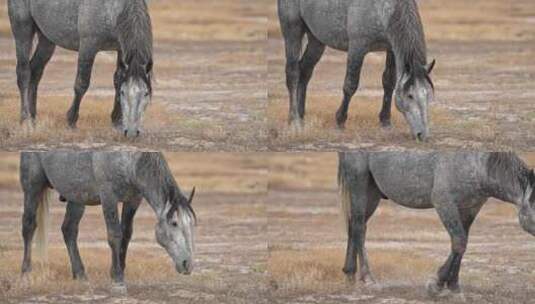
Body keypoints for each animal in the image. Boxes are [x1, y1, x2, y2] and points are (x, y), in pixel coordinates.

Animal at [8, 0, 155, 138]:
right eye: (124, 93)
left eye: (146, 93)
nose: (131, 132)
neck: (113, 8)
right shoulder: (88, 47)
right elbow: (82, 84)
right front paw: (71, 121)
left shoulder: (120, 49)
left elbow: (118, 79)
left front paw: (117, 122)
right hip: (23, 29)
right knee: (24, 73)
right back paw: (25, 120)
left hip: (46, 39)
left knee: (35, 72)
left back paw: (33, 119)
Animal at [21, 151, 198, 294]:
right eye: (174, 223)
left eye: (192, 224)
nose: (188, 265)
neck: (129, 161)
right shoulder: (108, 197)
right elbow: (114, 236)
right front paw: (118, 280)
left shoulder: (133, 200)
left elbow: (126, 235)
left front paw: (119, 272)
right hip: (32, 187)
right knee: (29, 227)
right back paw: (26, 273)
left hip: (77, 197)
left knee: (69, 230)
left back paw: (80, 275)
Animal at [278, 0, 438, 141]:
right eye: (410, 96)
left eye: (428, 95)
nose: (422, 135)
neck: (382, 8)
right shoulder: (357, 48)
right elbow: (350, 85)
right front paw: (340, 121)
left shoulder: (391, 49)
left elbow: (389, 82)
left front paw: (385, 121)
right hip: (293, 31)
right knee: (293, 73)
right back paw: (294, 120)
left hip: (316, 40)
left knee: (305, 71)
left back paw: (301, 115)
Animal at [340, 151, 535, 296]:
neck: (479, 164)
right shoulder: (444, 203)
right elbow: (459, 242)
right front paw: (437, 284)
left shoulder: (470, 208)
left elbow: (461, 244)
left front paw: (453, 285)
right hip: (359, 183)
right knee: (358, 227)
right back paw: (368, 279)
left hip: (372, 192)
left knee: (354, 226)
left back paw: (350, 274)